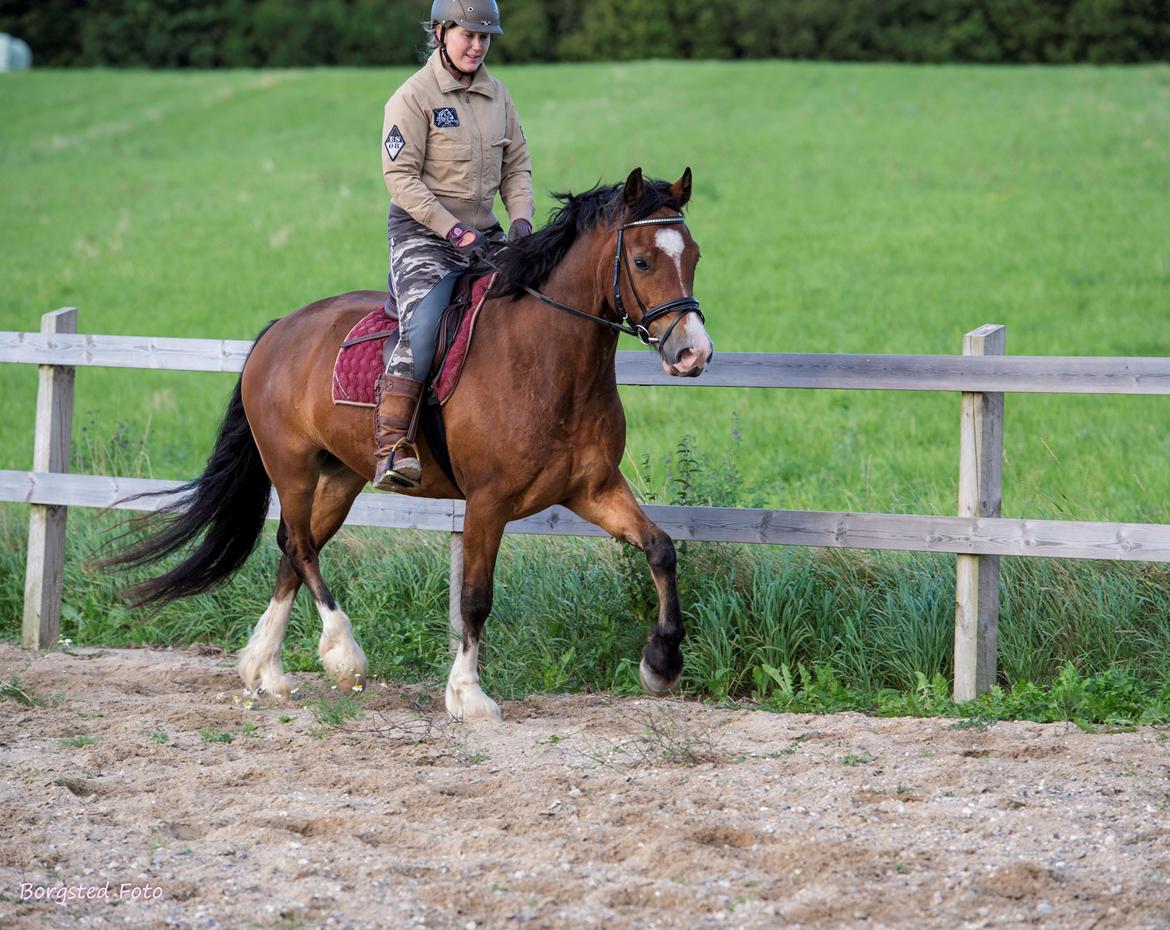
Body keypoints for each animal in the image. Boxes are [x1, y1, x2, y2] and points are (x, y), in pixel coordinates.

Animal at [111, 164, 711, 720]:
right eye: (642, 261)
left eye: (695, 256)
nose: (693, 354)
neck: (545, 359)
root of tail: (278, 331)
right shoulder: (488, 502)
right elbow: (475, 599)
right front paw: (468, 695)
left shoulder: (592, 488)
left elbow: (660, 548)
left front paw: (661, 663)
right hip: (293, 467)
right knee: (300, 547)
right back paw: (343, 657)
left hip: (341, 477)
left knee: (293, 552)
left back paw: (267, 671)